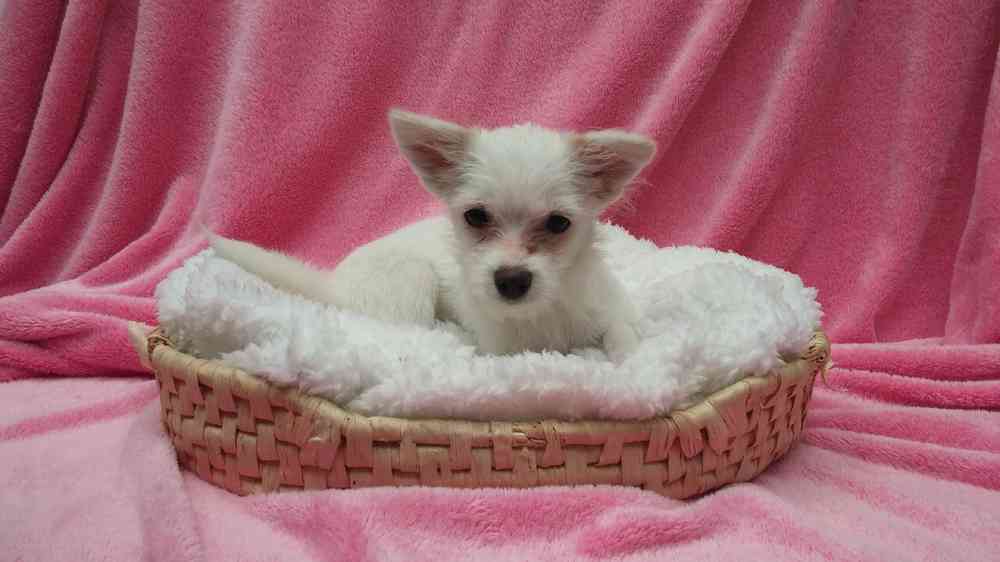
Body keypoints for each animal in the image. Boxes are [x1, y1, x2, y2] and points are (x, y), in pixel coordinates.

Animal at [210, 109, 657, 363]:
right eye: (475, 216)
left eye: (559, 224)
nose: (511, 281)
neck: (542, 312)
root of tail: (333, 284)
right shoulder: (501, 350)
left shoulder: (611, 308)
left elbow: (622, 334)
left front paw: (629, 362)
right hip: (410, 278)